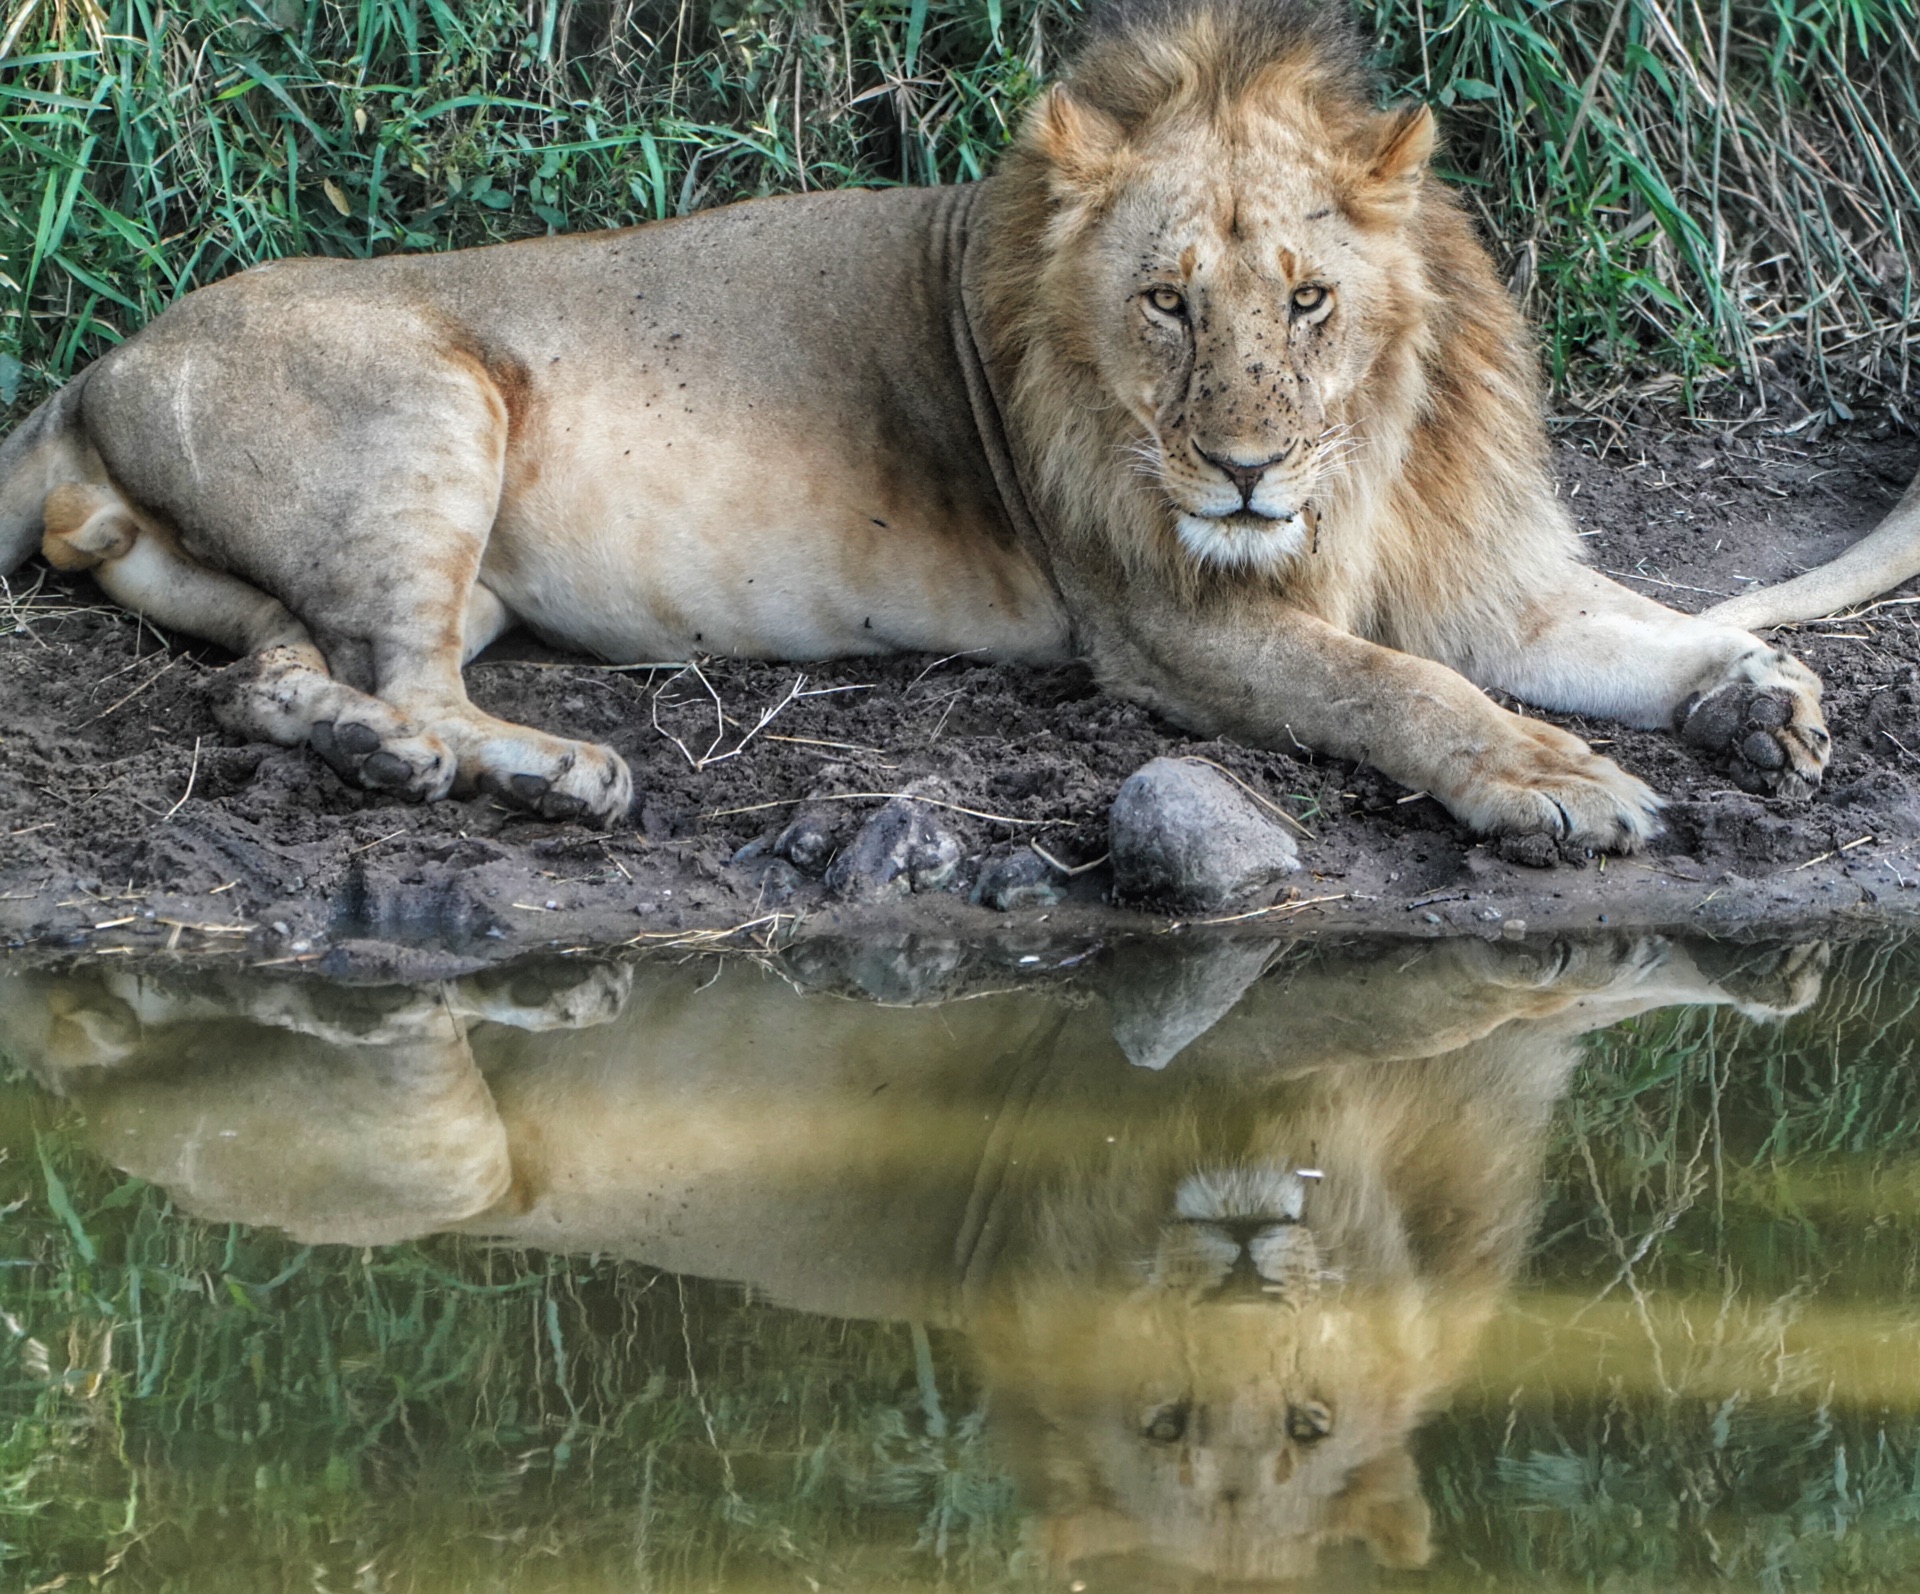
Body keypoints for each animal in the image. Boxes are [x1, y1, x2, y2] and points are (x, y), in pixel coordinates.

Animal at [0, 0, 1835, 848]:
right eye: (1168, 304)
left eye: (1310, 299)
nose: (1241, 470)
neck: (1365, 458)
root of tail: (97, 365)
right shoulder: (1170, 625)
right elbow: (1403, 689)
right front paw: (1554, 781)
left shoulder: (1479, 569)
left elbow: (1626, 624)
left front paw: (1753, 695)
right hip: (433, 408)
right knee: (400, 672)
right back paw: (546, 768)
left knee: (277, 681)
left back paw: (387, 754)